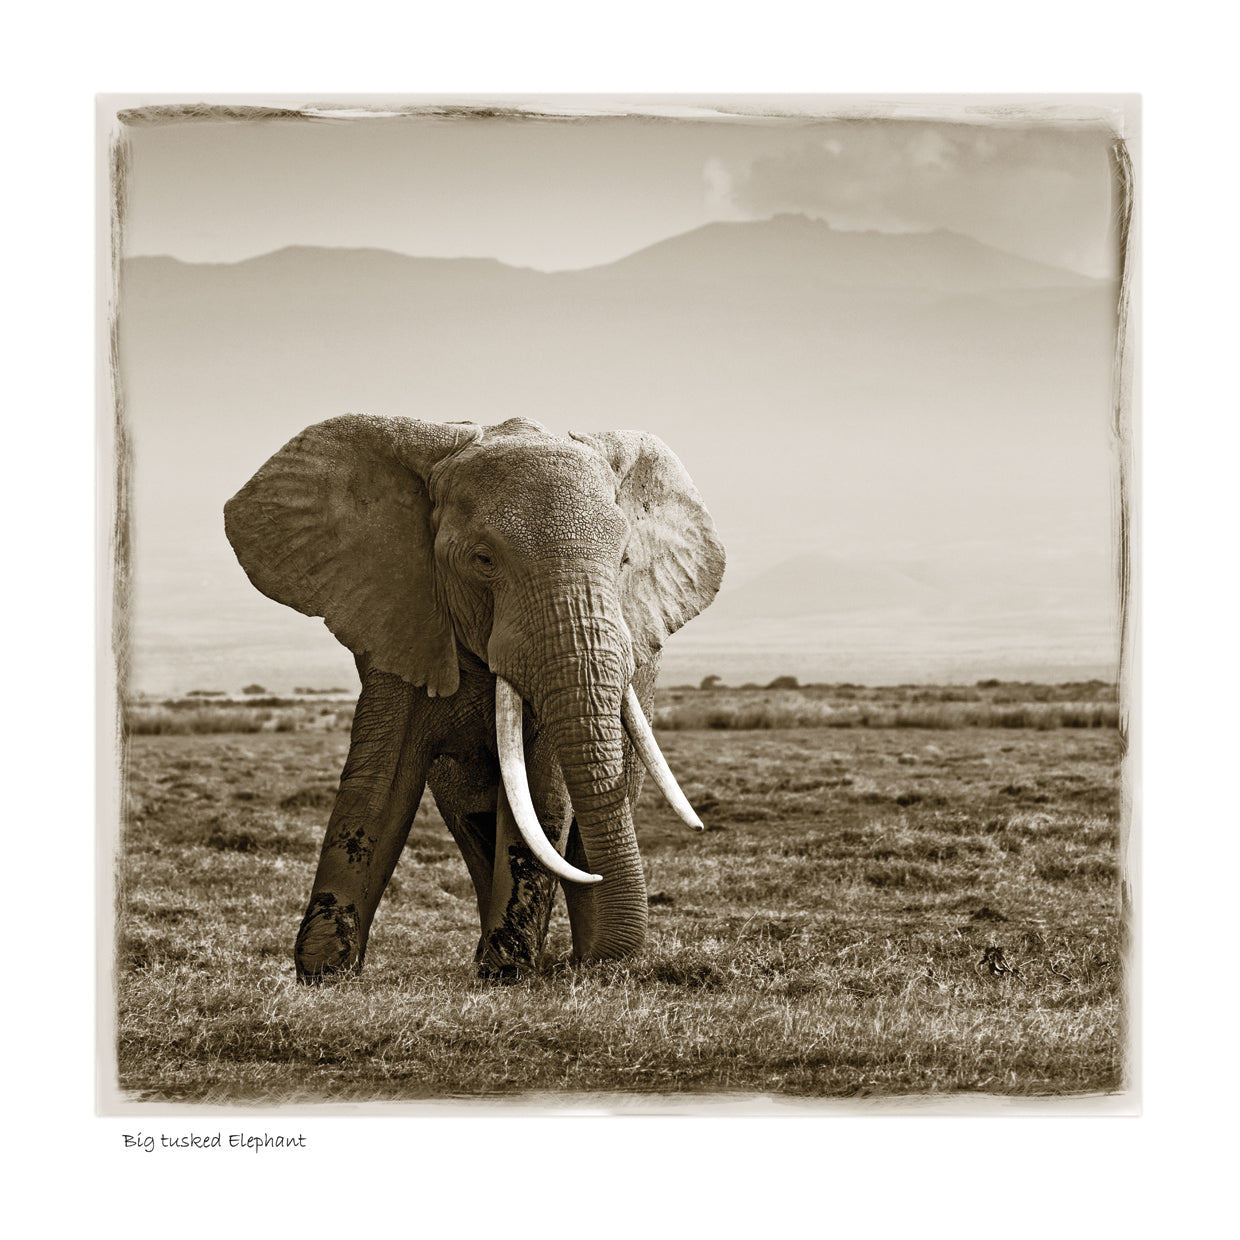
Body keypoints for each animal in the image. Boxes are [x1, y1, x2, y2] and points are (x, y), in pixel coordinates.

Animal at [224, 415, 725, 981]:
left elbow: (541, 788)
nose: (595, 965)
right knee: (475, 828)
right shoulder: (400, 616)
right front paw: (325, 970)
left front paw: (510, 973)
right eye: (483, 560)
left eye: (623, 561)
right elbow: (382, 777)